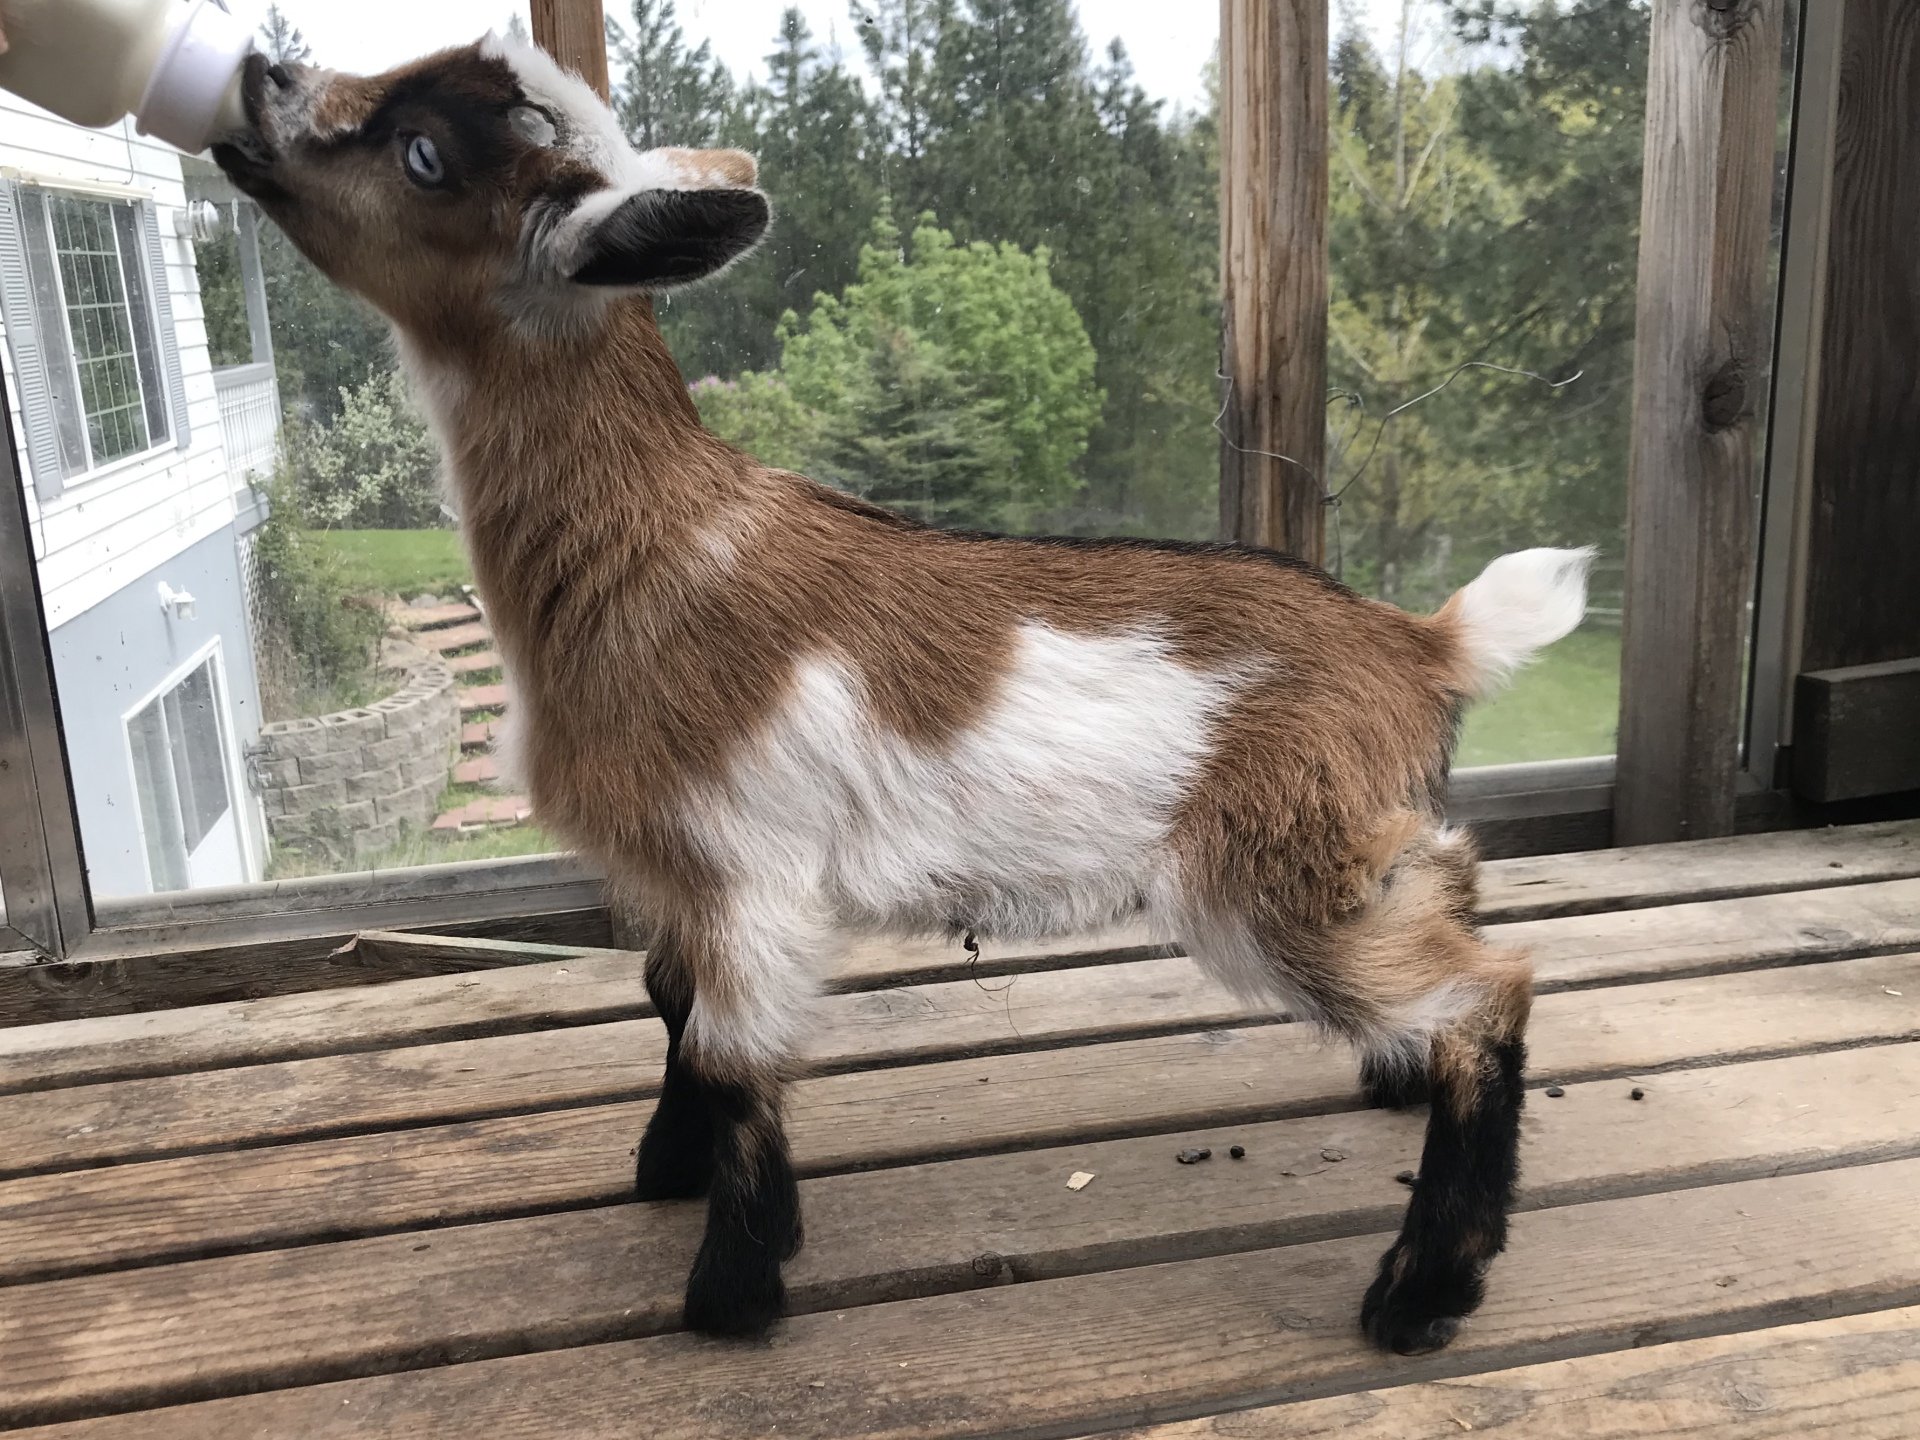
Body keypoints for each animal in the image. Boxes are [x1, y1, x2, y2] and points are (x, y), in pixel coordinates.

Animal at [215, 35, 1593, 1354]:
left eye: (425, 154)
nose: (258, 78)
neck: (661, 548)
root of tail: (1420, 643)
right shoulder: (679, 877)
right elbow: (669, 1006)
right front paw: (665, 1168)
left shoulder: (746, 868)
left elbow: (733, 1053)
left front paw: (733, 1291)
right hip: (1357, 838)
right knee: (1452, 890)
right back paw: (1397, 1086)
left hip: (1270, 871)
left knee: (1489, 995)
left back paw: (1421, 1291)